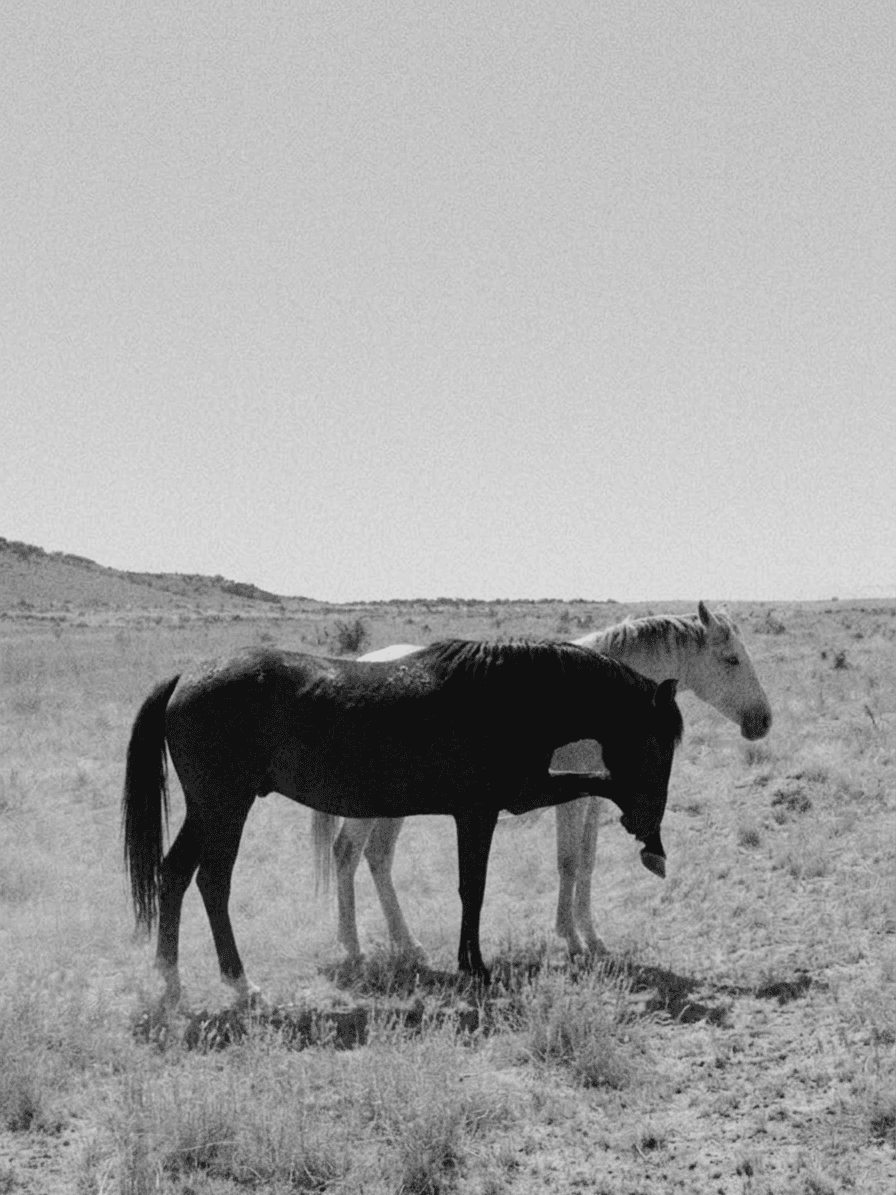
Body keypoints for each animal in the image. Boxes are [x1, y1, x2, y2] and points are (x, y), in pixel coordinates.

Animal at [122, 638, 683, 1002]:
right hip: (225, 808)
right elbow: (474, 887)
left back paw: (169, 981)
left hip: (208, 810)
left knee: (174, 876)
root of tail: (185, 678)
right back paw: (240, 985)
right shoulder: (490, 808)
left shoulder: (506, 800)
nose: (646, 825)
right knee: (213, 883)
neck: (506, 695)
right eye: (659, 746)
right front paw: (474, 966)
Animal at [319, 602, 771, 960]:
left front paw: (591, 935)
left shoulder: (596, 798)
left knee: (378, 857)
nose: (763, 721)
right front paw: (570, 938)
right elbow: (568, 861)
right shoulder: (571, 797)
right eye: (731, 659)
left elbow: (587, 860)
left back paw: (406, 944)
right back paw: (352, 948)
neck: (600, 699)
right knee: (346, 854)